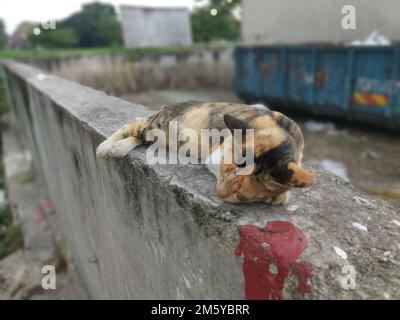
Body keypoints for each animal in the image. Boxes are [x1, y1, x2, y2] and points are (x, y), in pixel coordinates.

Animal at [95, 101, 314, 204]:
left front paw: (279, 197)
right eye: (224, 172)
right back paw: (106, 147)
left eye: (240, 196)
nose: (219, 193)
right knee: (130, 126)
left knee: (139, 136)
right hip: (155, 124)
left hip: (155, 132)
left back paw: (118, 147)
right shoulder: (216, 156)